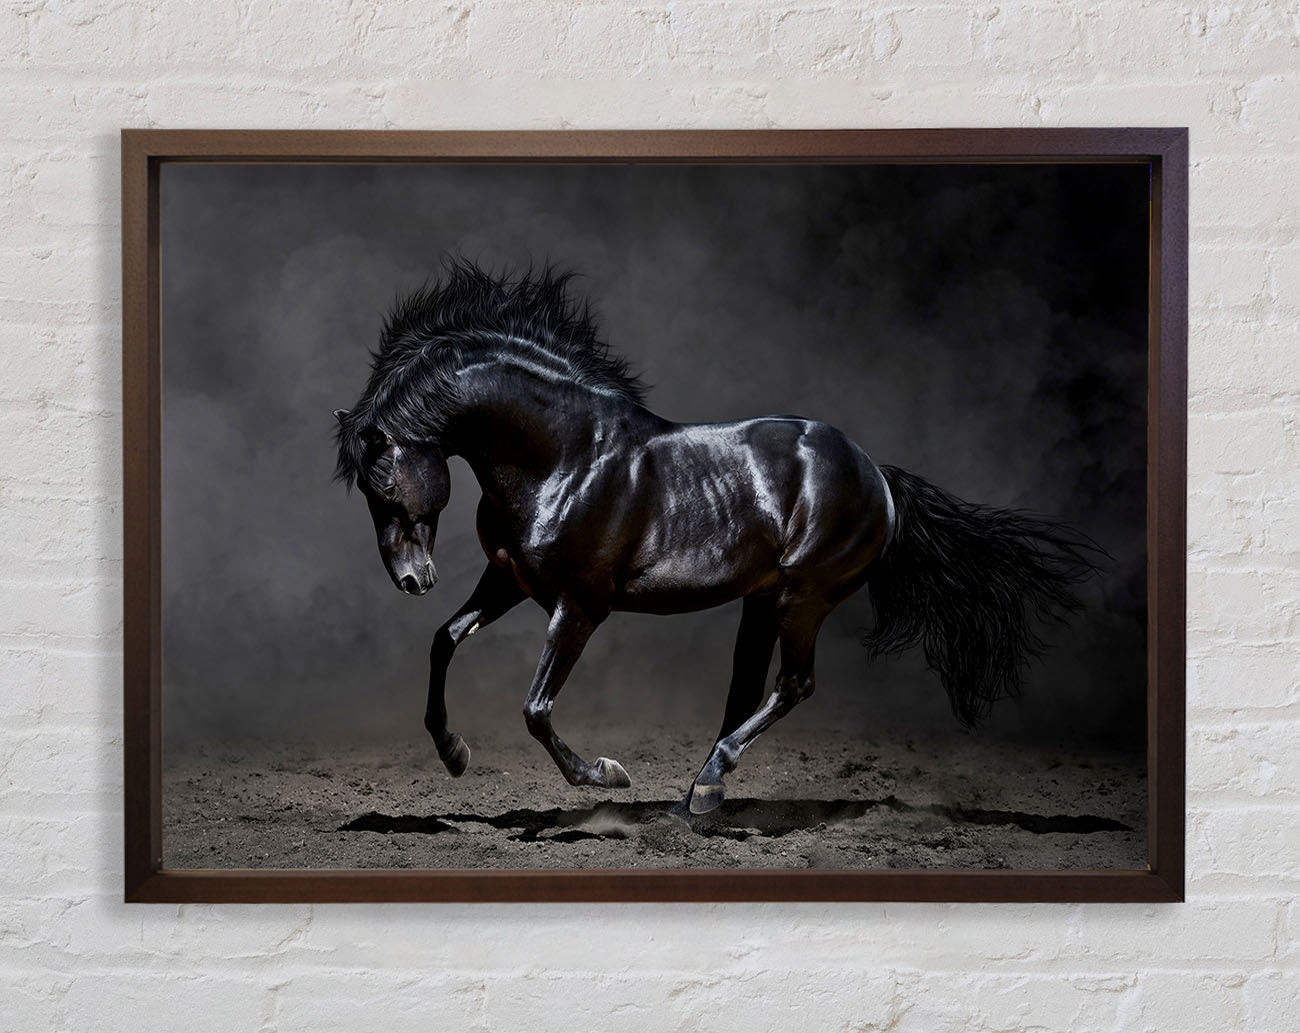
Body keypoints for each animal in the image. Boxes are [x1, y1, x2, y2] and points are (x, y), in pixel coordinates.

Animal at [334, 260, 1100, 815]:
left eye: (384, 485)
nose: (411, 579)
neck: (564, 456)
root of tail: (876, 473)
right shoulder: (510, 580)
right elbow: (444, 640)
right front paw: (453, 751)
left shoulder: (579, 605)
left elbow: (535, 707)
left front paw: (605, 775)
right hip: (763, 600)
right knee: (748, 690)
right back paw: (700, 792)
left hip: (803, 597)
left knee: (793, 685)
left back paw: (705, 787)